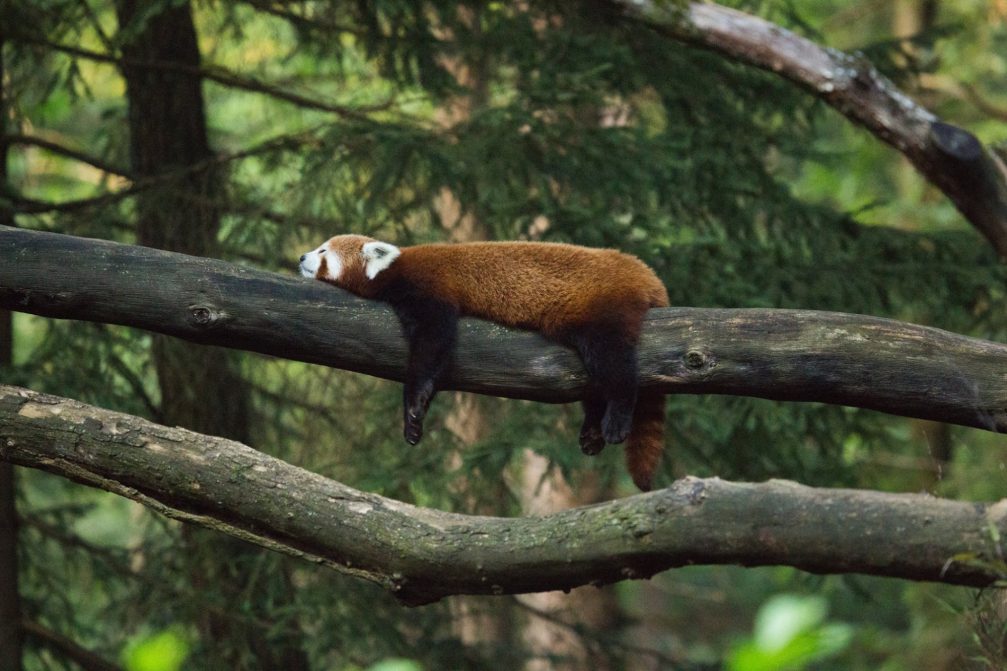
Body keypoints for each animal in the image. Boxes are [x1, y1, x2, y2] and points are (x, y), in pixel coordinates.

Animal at [302, 232, 672, 489]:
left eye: (324, 251)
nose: (302, 255)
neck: (395, 269)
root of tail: (644, 271)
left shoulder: (429, 290)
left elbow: (434, 345)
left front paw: (414, 405)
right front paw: (415, 420)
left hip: (602, 311)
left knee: (615, 366)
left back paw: (616, 419)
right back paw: (593, 430)